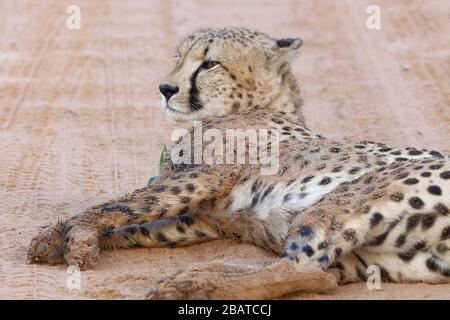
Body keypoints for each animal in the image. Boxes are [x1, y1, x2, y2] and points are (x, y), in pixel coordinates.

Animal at [29, 28, 450, 300]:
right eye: (179, 58)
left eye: (210, 64)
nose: (165, 88)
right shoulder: (202, 217)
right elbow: (141, 224)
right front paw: (60, 240)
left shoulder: (203, 177)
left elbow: (120, 205)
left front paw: (73, 237)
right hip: (381, 258)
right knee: (318, 275)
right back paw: (197, 279)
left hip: (349, 199)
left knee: (305, 266)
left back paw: (194, 284)